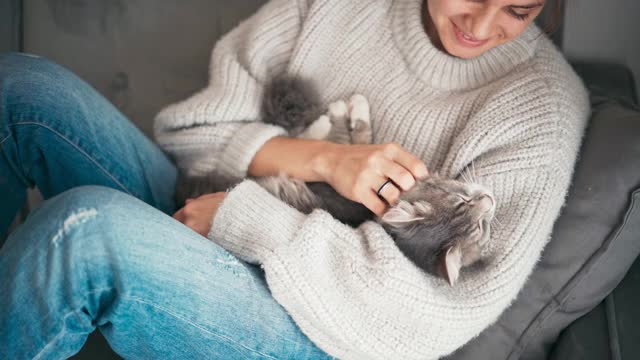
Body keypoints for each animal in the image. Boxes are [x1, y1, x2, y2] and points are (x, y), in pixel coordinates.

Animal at [178, 74, 498, 286]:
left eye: (481, 227)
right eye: (462, 199)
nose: (489, 199)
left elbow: (351, 135)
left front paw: (344, 111)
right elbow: (350, 139)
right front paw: (346, 110)